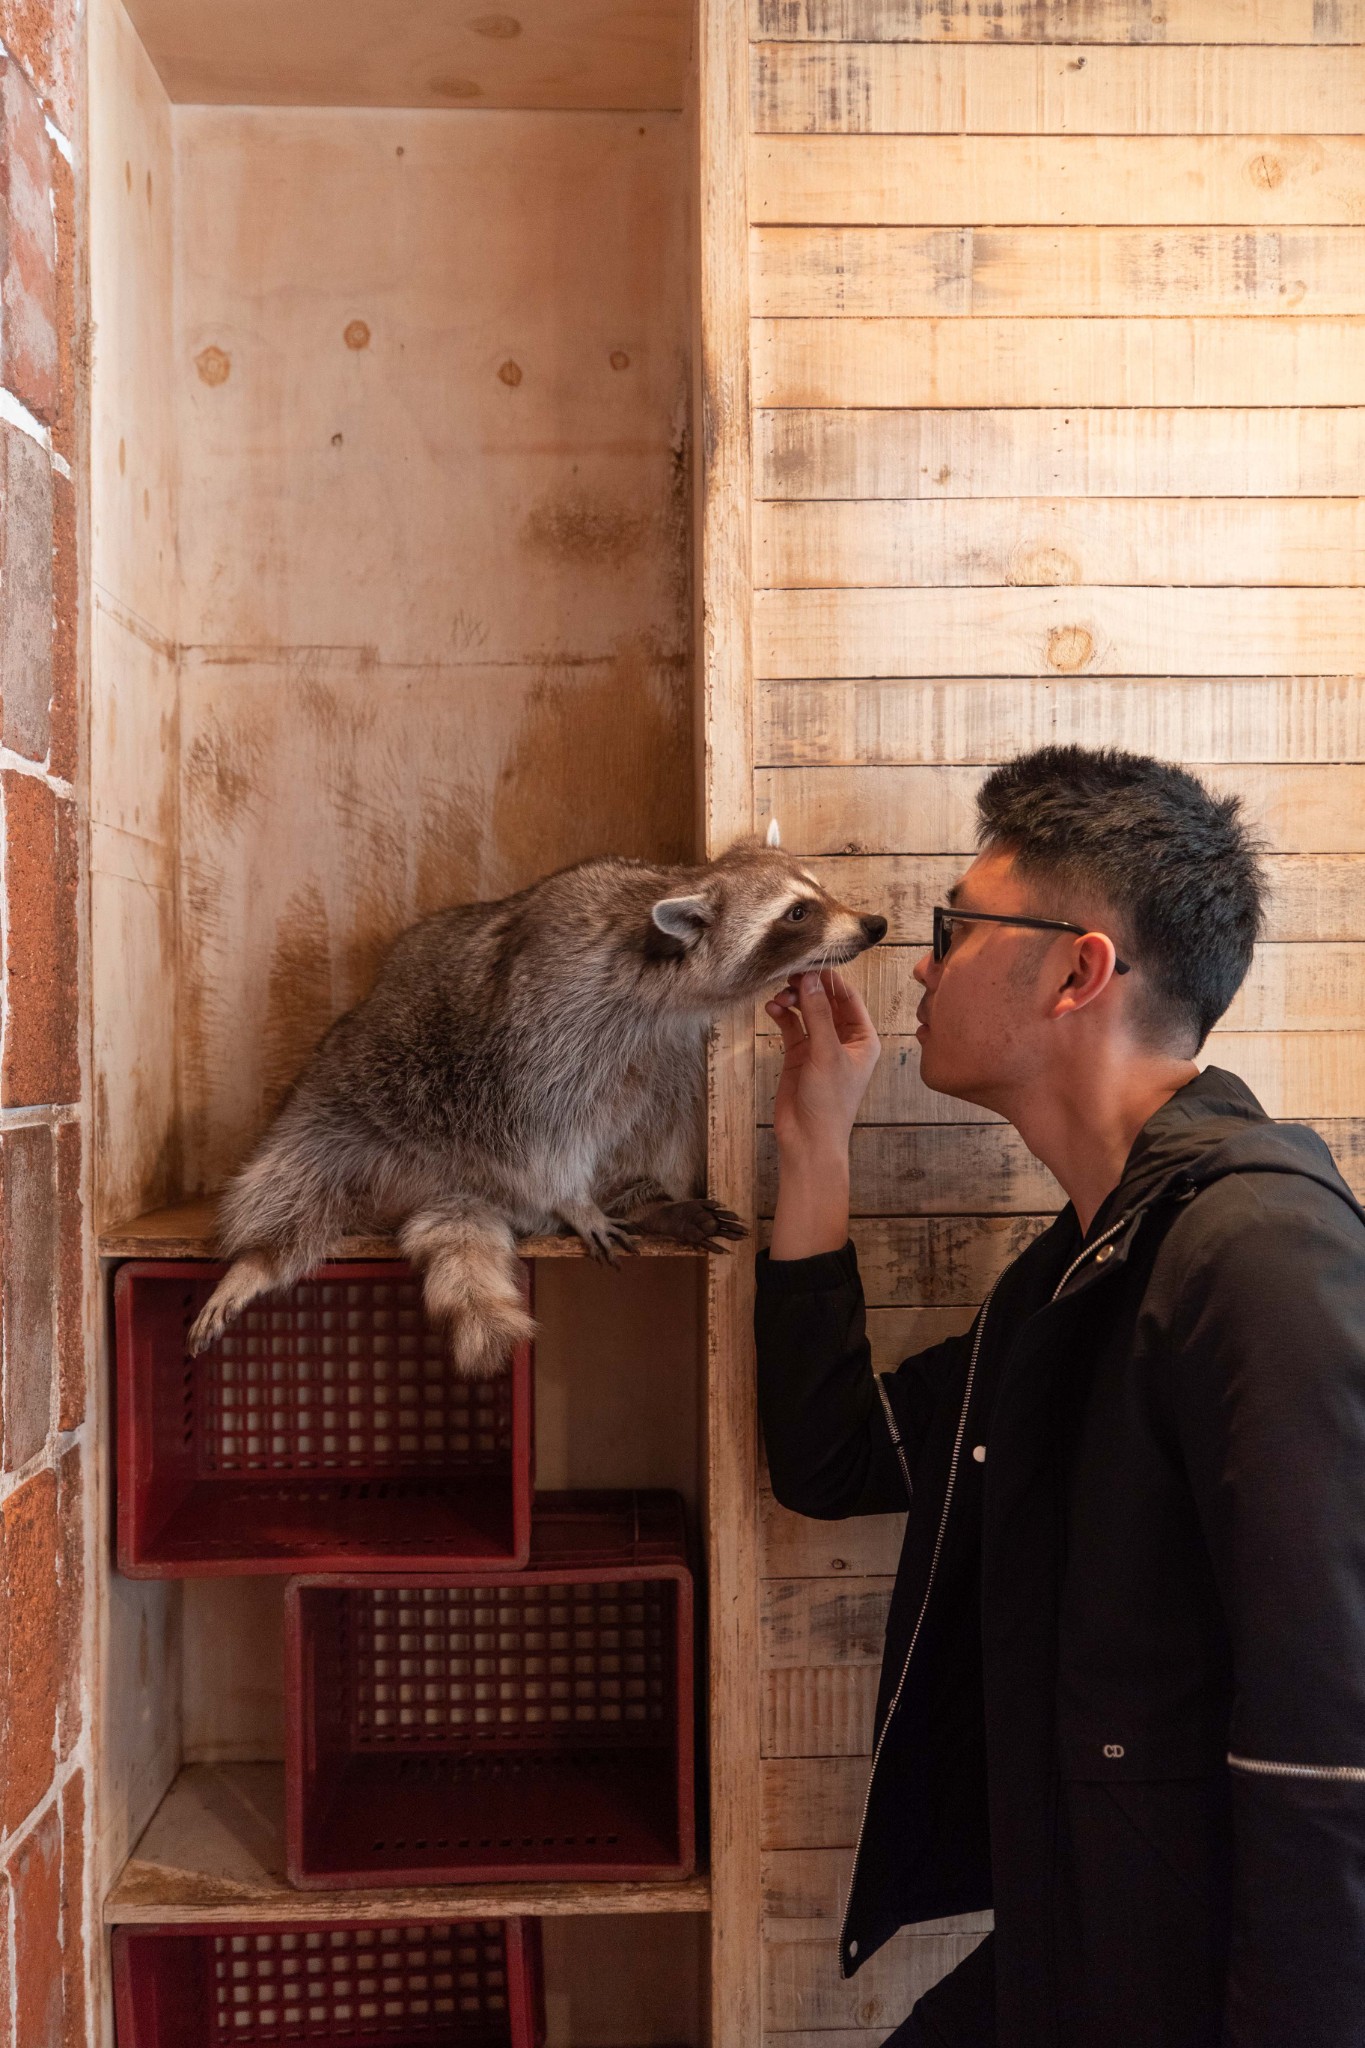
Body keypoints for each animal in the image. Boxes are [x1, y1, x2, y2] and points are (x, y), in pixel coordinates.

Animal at [187, 827, 888, 1376]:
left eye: (819, 892)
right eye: (796, 914)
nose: (874, 924)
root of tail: (444, 1187)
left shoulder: (670, 1041)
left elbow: (667, 1110)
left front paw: (645, 1192)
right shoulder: (545, 1024)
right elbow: (537, 1130)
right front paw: (574, 1199)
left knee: (657, 1105)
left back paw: (643, 1198)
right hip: (351, 1098)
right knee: (298, 1174)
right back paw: (260, 1254)